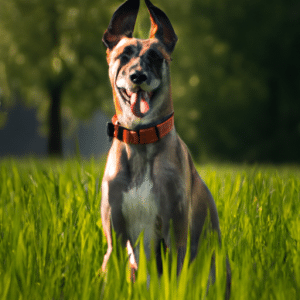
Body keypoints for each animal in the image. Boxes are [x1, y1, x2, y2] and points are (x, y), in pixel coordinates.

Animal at [102, 0, 231, 298]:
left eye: (155, 57)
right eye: (124, 55)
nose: (138, 76)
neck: (140, 140)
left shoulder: (175, 236)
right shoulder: (115, 239)